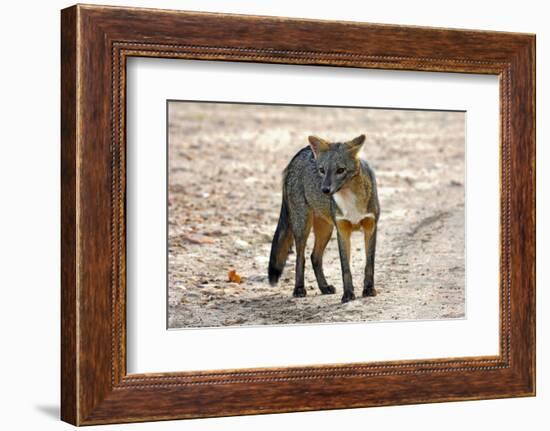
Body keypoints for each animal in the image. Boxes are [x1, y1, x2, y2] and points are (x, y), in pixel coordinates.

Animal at [270, 135, 382, 304]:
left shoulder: (370, 227)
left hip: (326, 230)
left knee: (314, 257)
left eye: (340, 170)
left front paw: (369, 289)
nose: (324, 190)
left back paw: (324, 287)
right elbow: (345, 268)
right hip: (302, 227)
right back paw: (299, 288)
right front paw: (348, 294)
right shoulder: (342, 230)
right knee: (301, 258)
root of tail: (301, 152)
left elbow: (369, 264)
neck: (350, 201)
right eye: (322, 170)